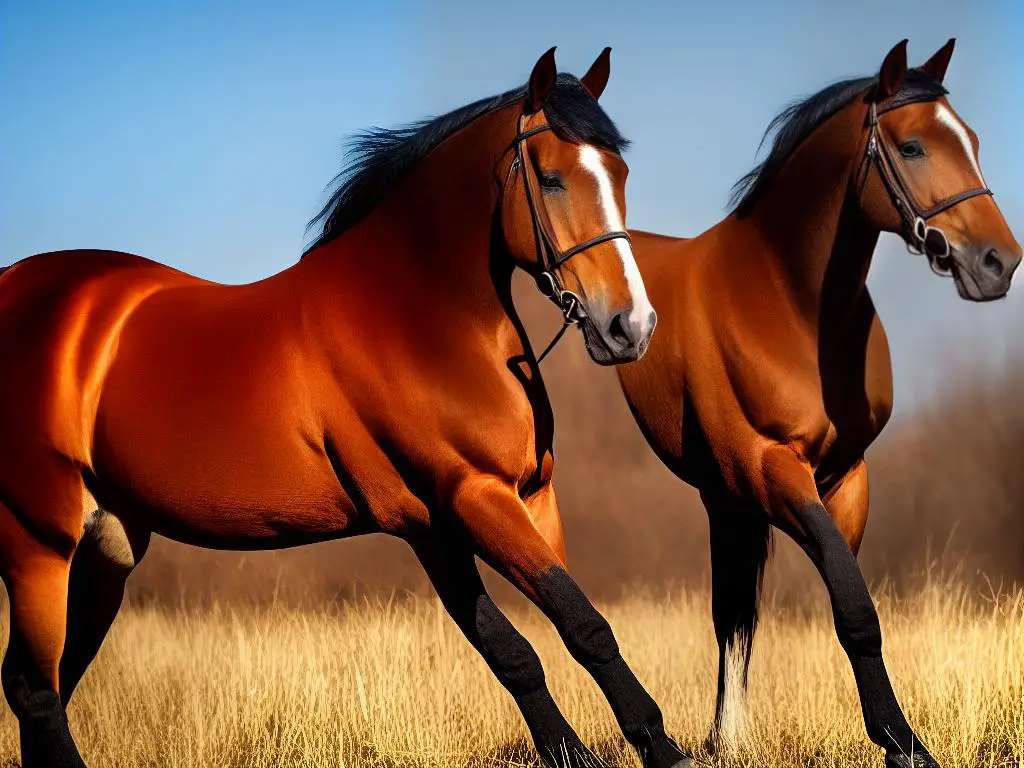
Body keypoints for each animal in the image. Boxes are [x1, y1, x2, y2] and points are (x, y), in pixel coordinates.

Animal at [2, 49, 688, 768]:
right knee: (33, 687)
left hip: (107, 546)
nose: (630, 327)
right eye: (551, 178)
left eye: (619, 172)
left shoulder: (493, 509)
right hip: (36, 541)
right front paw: (660, 746)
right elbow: (570, 628)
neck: (419, 317)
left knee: (53, 680)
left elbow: (530, 643)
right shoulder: (468, 500)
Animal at [610, 39, 1019, 765]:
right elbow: (854, 606)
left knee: (733, 611)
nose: (999, 262)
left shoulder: (844, 478)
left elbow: (841, 601)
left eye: (970, 140)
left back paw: (726, 734)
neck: (783, 297)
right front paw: (903, 742)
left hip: (723, 500)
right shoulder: (772, 471)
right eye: (912, 146)